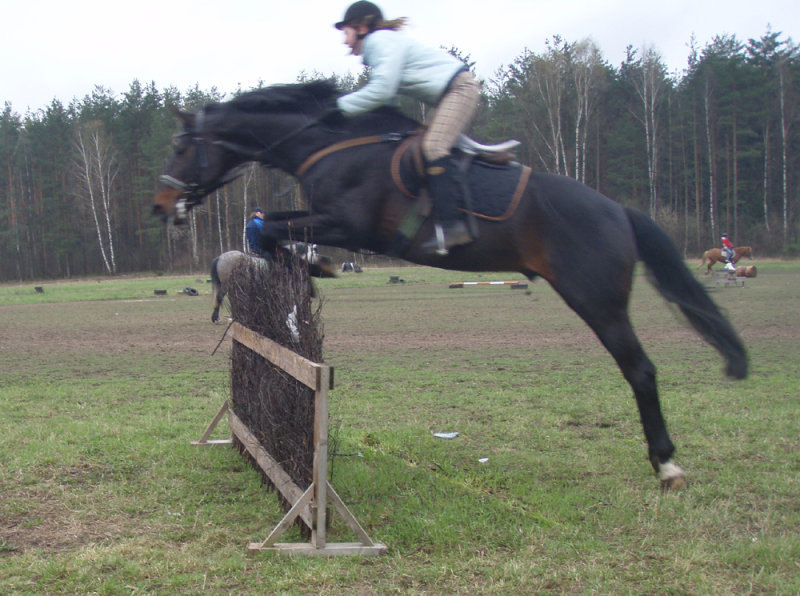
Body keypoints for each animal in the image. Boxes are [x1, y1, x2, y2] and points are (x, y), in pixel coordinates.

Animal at [156, 80, 752, 488]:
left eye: (182, 148)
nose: (163, 206)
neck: (331, 145)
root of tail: (618, 211)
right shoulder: (328, 218)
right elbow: (269, 224)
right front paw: (304, 268)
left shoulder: (351, 225)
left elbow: (271, 227)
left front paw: (313, 267)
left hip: (597, 299)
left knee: (641, 370)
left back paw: (667, 463)